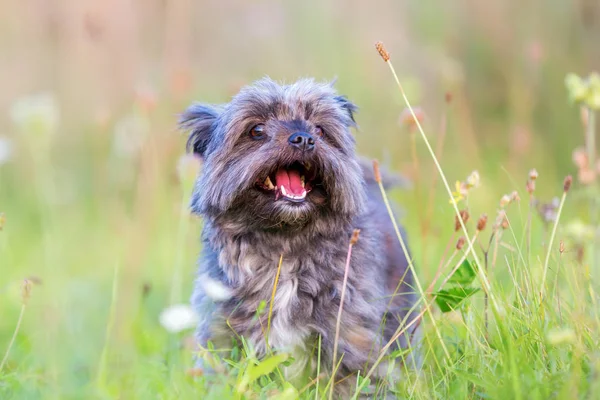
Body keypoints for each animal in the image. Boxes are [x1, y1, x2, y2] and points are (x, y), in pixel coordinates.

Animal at [180, 76, 420, 396]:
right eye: (256, 130)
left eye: (319, 129)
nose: (304, 138)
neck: (285, 248)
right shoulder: (224, 338)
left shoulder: (350, 341)